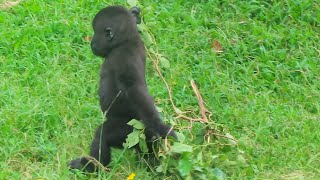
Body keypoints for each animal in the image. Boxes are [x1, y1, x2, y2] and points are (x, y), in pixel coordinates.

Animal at [68, 4, 176, 172]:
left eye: (95, 33)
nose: (91, 43)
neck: (125, 42)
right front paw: (135, 15)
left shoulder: (124, 59)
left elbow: (134, 89)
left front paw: (161, 127)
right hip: (140, 138)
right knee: (147, 151)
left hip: (133, 130)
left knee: (103, 135)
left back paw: (91, 167)